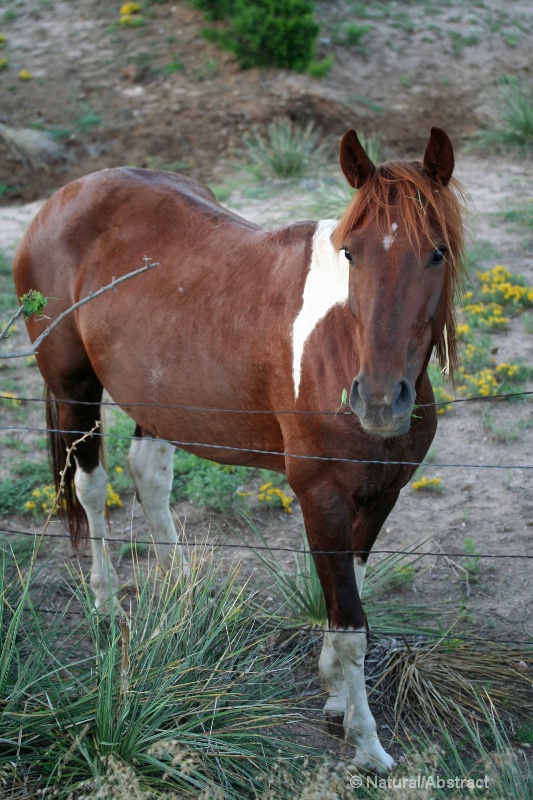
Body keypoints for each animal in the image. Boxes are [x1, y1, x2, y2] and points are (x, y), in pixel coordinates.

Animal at [12, 128, 466, 772]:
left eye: (437, 253)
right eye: (351, 253)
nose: (379, 400)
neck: (340, 344)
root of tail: (63, 197)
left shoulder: (382, 495)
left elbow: (346, 596)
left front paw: (335, 694)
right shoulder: (321, 496)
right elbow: (350, 624)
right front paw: (367, 743)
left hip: (158, 395)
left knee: (149, 475)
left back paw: (179, 591)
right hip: (73, 388)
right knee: (92, 488)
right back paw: (105, 605)